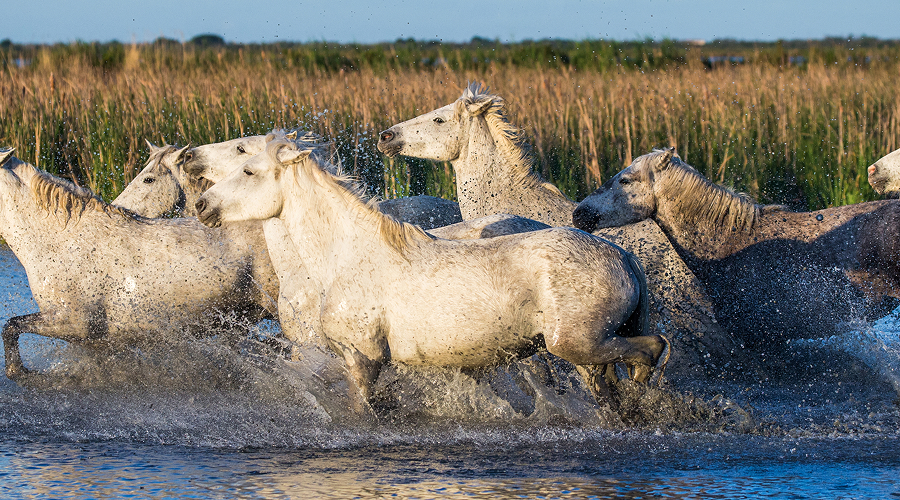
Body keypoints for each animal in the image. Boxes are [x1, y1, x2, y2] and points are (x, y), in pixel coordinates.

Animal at [0, 148, 280, 379]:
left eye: (148, 179)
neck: (64, 239)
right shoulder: (95, 342)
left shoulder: (72, 322)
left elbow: (10, 326)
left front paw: (19, 372)